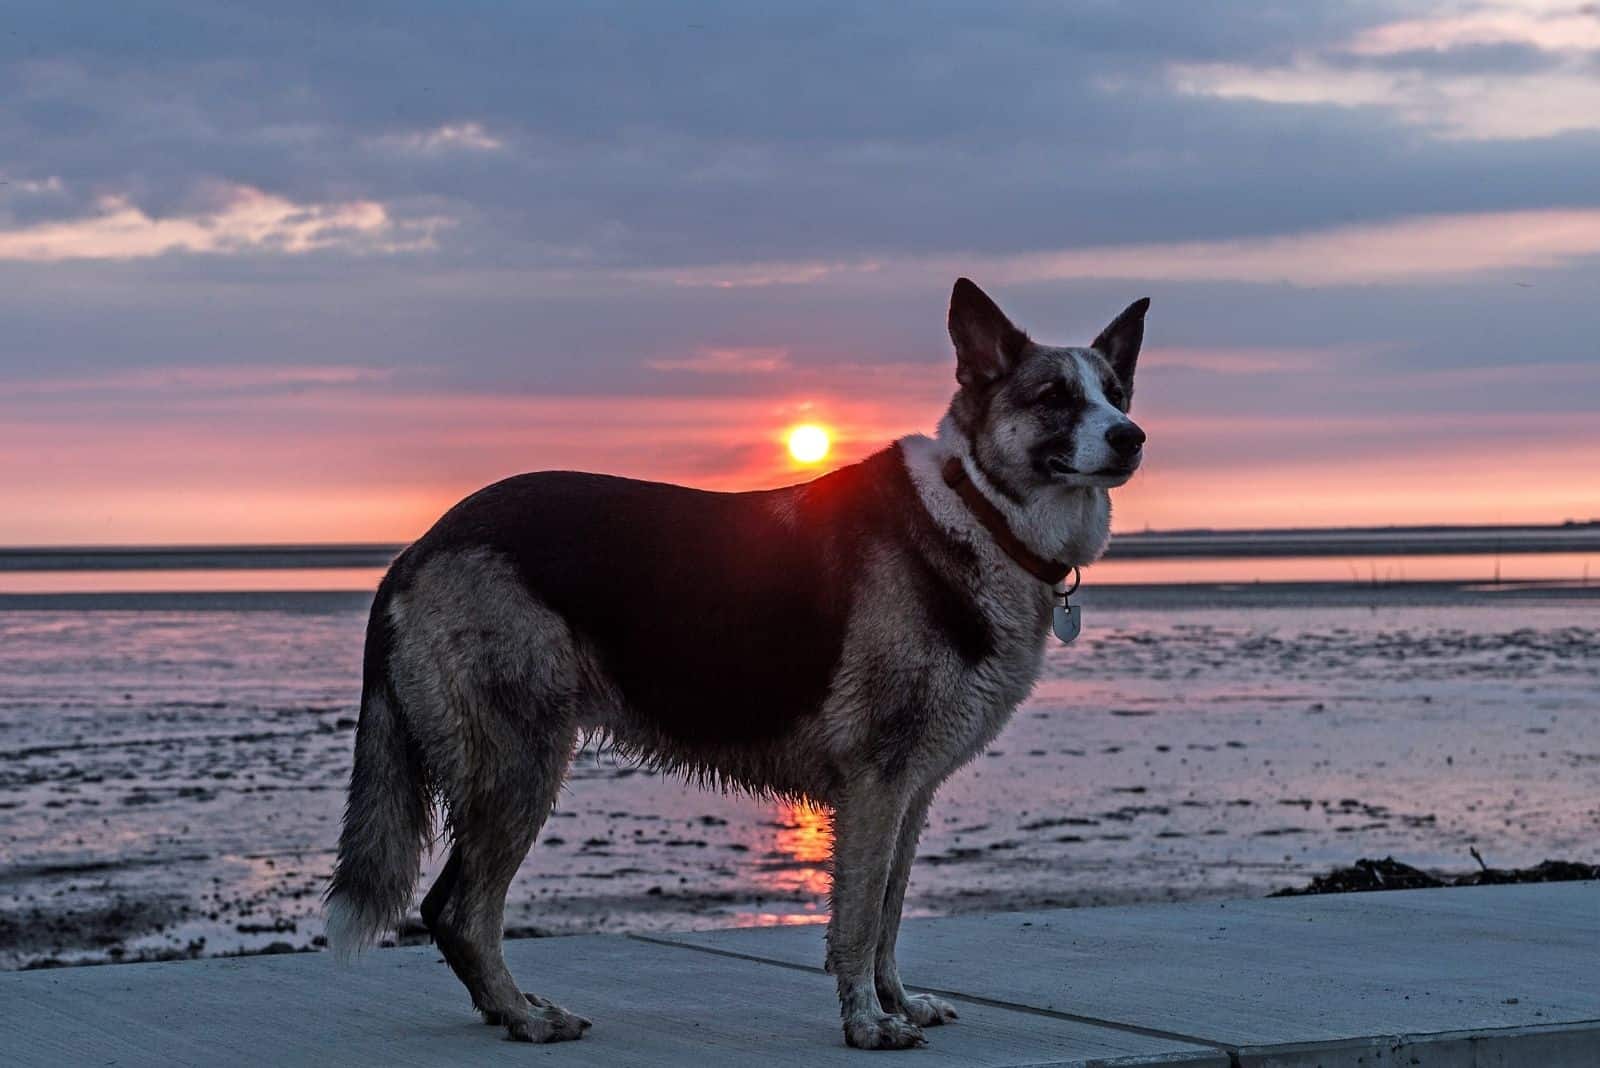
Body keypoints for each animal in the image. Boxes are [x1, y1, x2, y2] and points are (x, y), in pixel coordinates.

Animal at [328, 278, 1152, 1048]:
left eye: (1114, 394)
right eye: (1053, 397)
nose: (1132, 437)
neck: (980, 509)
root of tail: (417, 550)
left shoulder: (910, 793)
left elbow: (889, 917)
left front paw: (896, 1002)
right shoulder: (877, 784)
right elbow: (859, 921)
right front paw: (867, 1023)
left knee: (455, 909)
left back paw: (509, 1009)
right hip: (522, 764)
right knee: (460, 909)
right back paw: (522, 1015)